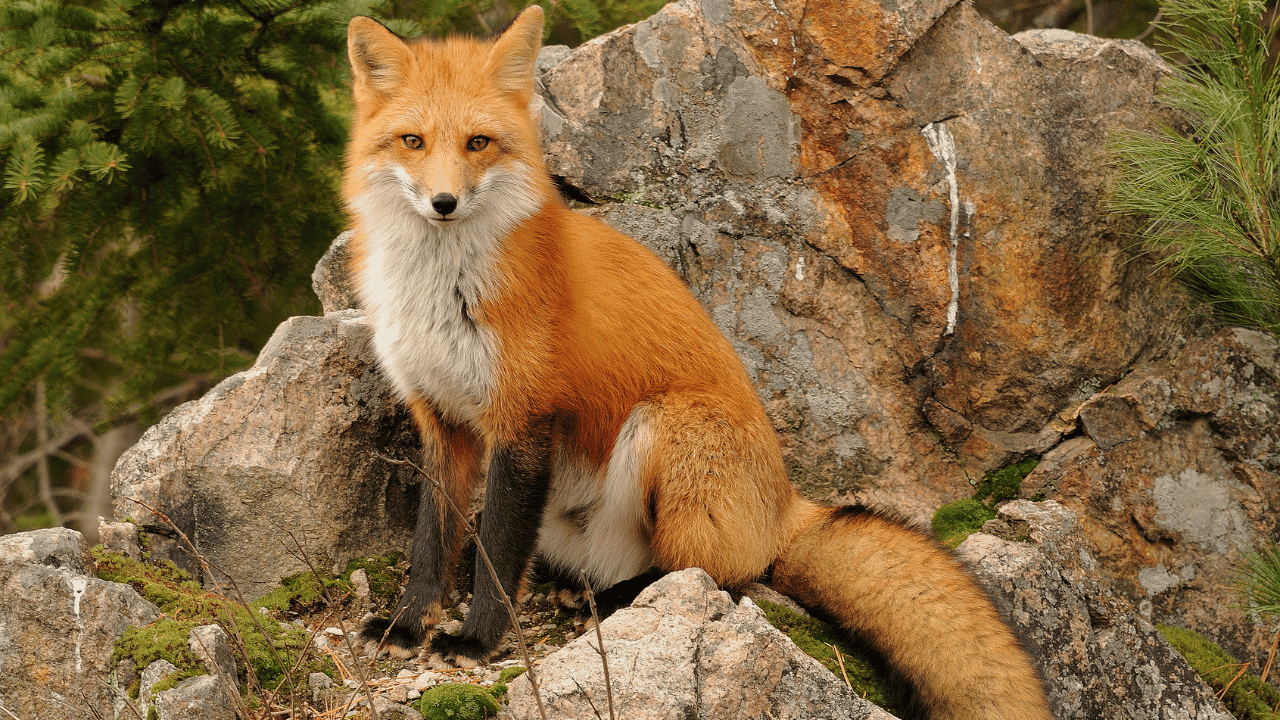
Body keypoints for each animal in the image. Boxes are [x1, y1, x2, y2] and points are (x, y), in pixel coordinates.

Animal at [341, 7, 1054, 720]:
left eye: (479, 143)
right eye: (412, 141)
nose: (443, 203)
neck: (442, 290)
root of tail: (786, 504)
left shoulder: (524, 420)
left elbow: (497, 550)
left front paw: (477, 639)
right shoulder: (442, 420)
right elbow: (430, 543)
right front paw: (408, 624)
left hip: (668, 425)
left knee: (710, 574)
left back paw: (618, 600)